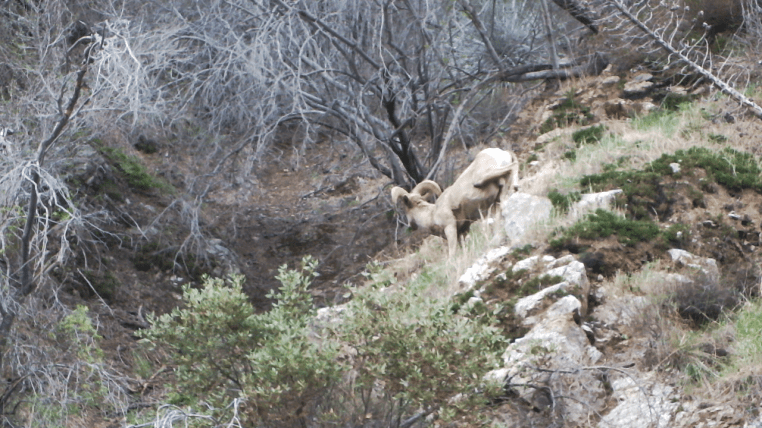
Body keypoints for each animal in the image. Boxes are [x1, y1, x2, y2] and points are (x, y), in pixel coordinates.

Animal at [391, 148, 519, 256]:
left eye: (402, 208)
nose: (410, 226)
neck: (432, 215)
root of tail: (501, 151)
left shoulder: (450, 228)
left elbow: (452, 253)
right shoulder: (462, 232)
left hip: (482, 176)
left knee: (512, 167)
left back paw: (515, 187)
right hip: (494, 203)